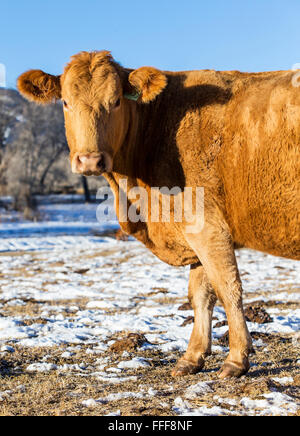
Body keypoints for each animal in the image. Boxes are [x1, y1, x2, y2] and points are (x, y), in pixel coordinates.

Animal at [18, 50, 300, 378]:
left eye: (116, 100)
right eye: (65, 102)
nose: (89, 160)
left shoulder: (208, 227)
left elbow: (228, 289)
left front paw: (236, 359)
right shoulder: (193, 232)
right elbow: (200, 295)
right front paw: (192, 357)